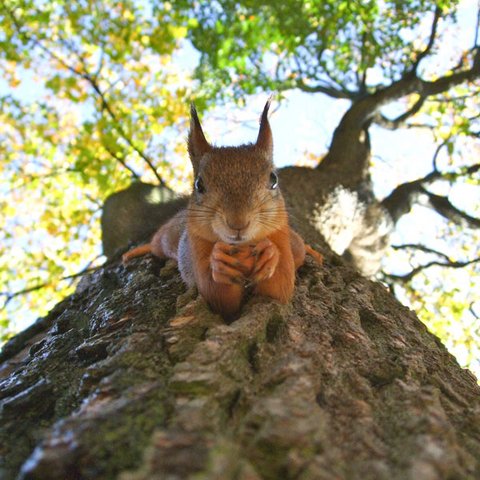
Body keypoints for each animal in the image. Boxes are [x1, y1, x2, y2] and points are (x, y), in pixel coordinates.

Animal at [122, 100, 324, 318]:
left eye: (273, 179)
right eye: (199, 185)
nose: (238, 223)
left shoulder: (281, 237)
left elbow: (279, 288)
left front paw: (270, 254)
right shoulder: (196, 246)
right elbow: (217, 296)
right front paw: (219, 261)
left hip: (294, 242)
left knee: (300, 246)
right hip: (167, 238)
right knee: (156, 244)